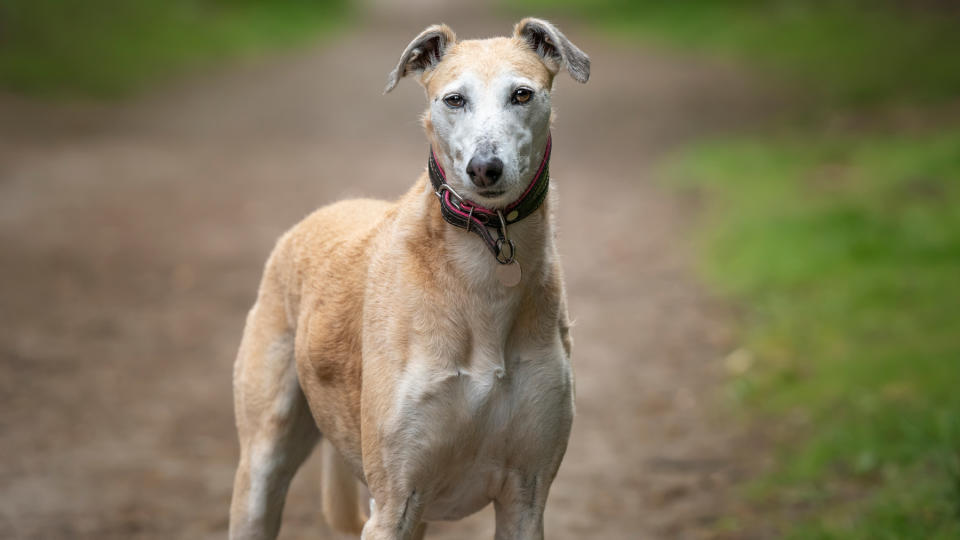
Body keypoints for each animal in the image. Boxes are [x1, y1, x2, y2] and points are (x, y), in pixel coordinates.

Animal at [229, 17, 588, 540]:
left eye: (522, 94)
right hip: (262, 467)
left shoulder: (526, 498)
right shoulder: (393, 503)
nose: (485, 169)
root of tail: (326, 210)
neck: (479, 273)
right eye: (454, 99)